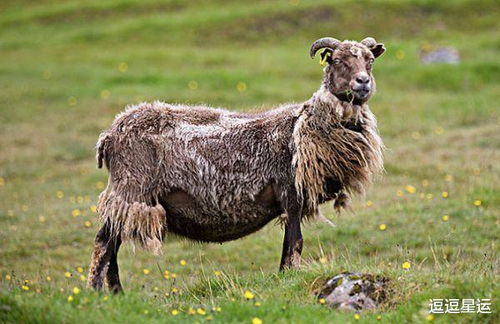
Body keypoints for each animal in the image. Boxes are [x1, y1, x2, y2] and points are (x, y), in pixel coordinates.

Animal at [89, 36, 386, 292]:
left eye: (370, 60)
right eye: (337, 60)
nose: (363, 82)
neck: (304, 124)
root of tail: (110, 134)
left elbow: (289, 246)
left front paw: (283, 277)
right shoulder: (291, 195)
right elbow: (295, 244)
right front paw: (288, 276)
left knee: (112, 243)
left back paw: (116, 294)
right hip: (131, 190)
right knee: (104, 242)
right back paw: (99, 294)